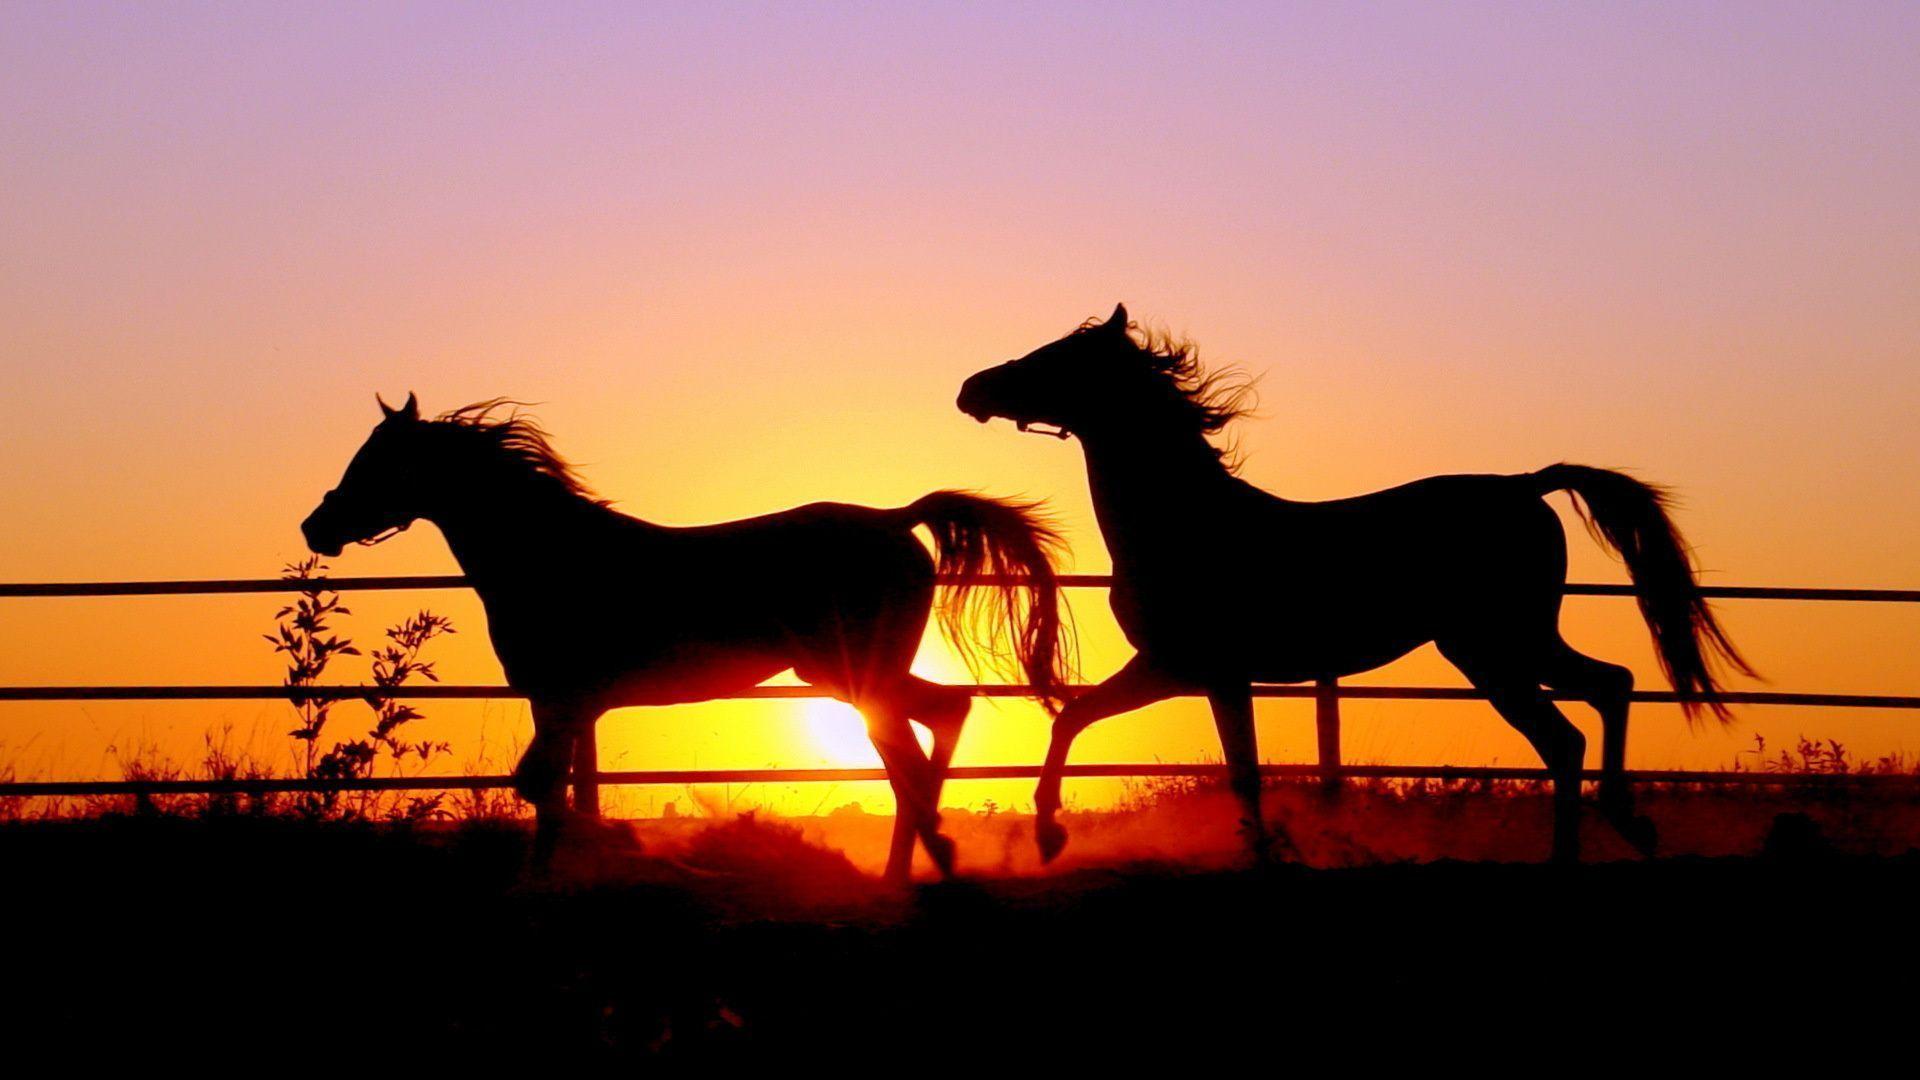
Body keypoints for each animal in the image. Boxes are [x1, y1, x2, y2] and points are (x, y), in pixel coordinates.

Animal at [301, 394, 1073, 881]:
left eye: (375, 462)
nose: (317, 526)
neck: (550, 553)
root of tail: (894, 519)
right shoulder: (566, 705)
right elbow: (546, 789)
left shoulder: (559, 698)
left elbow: (542, 788)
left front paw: (549, 880)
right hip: (854, 677)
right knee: (942, 719)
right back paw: (916, 862)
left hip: (855, 678)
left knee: (913, 753)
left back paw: (927, 860)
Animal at [958, 305, 1753, 863]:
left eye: (1057, 358)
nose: (972, 388)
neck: (1187, 522)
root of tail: (1525, 485)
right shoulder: (1173, 669)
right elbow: (1075, 719)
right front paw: (1050, 834)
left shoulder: (1204, 670)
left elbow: (1239, 770)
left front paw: (1263, 854)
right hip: (1513, 642)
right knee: (1608, 688)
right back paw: (1627, 824)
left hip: (1493, 649)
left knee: (1566, 733)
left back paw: (1574, 852)